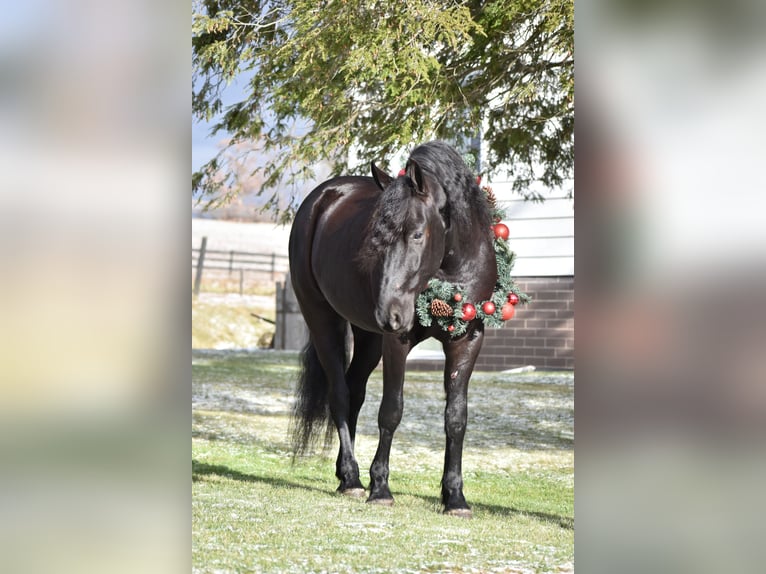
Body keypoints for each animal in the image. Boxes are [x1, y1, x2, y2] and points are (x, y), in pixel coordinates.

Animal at [290, 141, 498, 516]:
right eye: (377, 236)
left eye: (416, 233)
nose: (389, 312)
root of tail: (321, 197)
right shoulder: (396, 342)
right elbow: (391, 411)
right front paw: (381, 488)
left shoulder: (467, 339)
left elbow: (456, 417)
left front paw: (454, 496)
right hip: (325, 320)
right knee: (339, 394)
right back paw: (354, 479)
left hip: (368, 338)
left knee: (354, 391)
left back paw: (345, 475)